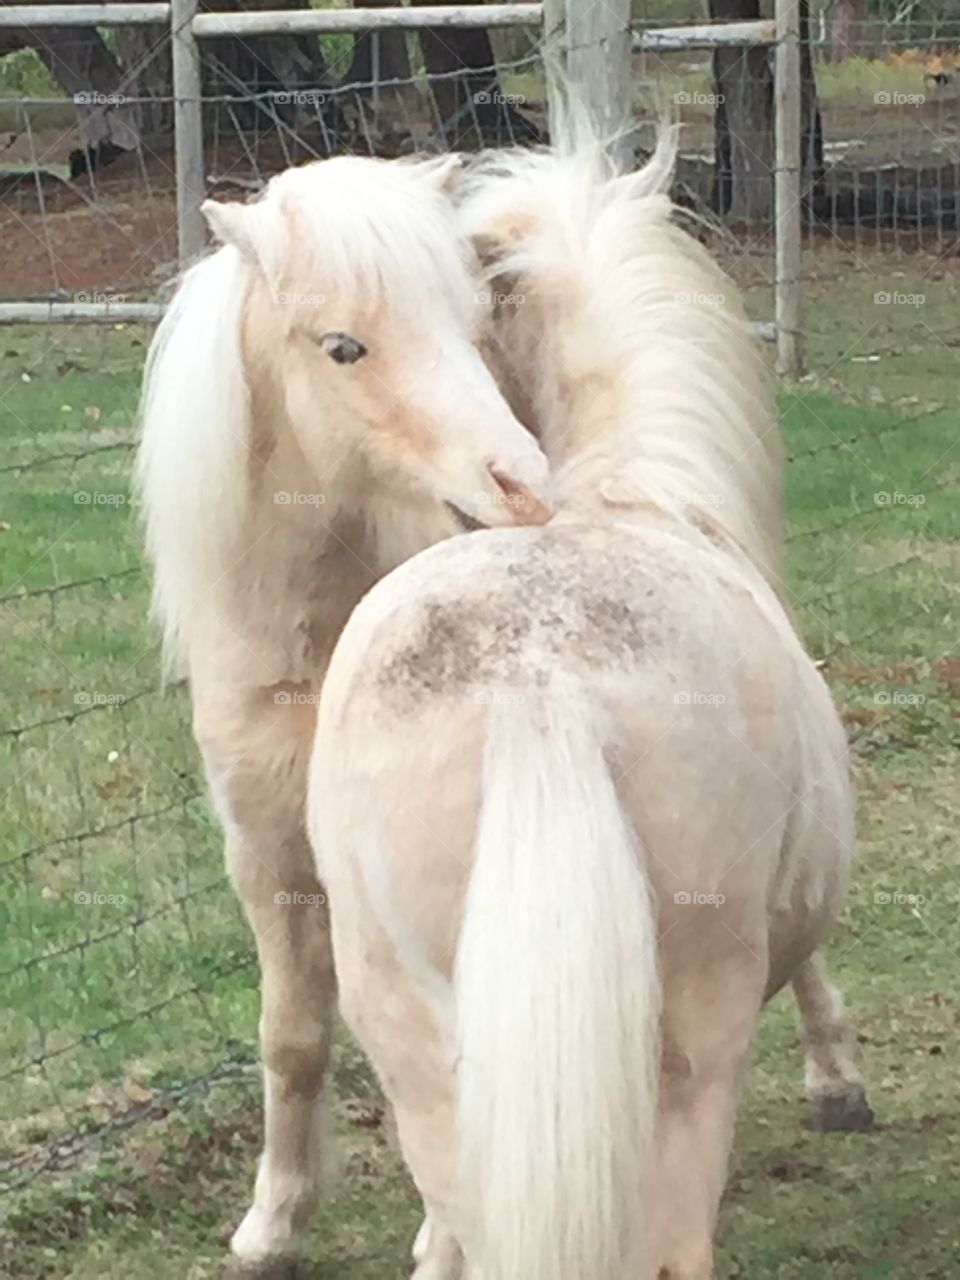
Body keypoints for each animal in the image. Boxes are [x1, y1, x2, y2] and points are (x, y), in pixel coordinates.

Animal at [136, 154, 555, 1274]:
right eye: (342, 346)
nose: (525, 488)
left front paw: (447, 1240)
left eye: (472, 324)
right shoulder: (270, 858)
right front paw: (272, 1224)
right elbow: (293, 1038)